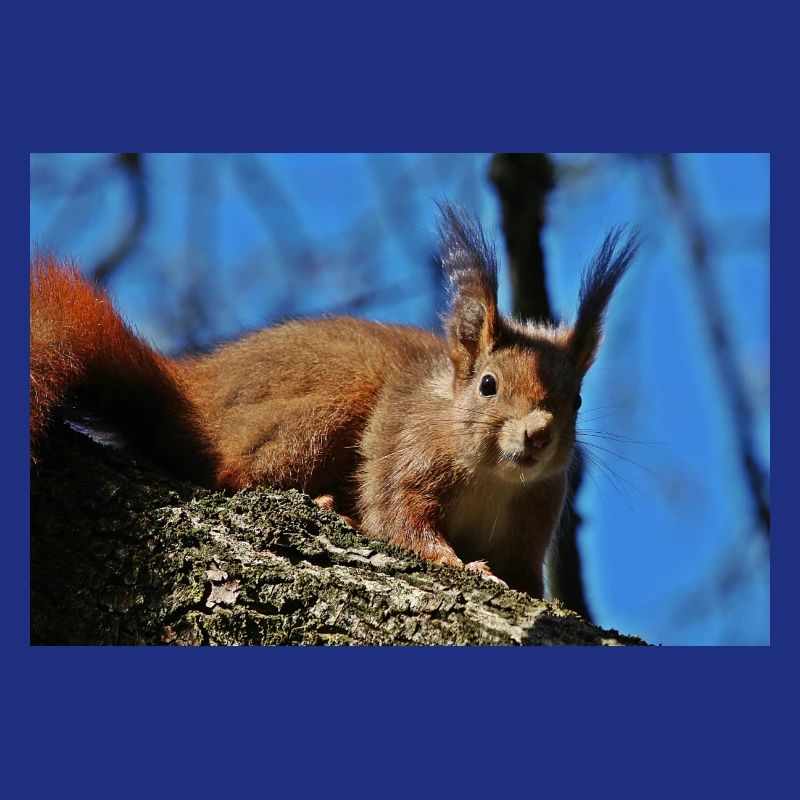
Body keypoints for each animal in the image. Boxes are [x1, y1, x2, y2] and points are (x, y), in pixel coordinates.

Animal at [30, 203, 640, 597]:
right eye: (488, 385)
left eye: (577, 400)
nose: (537, 434)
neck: (493, 475)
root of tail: (194, 392)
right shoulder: (405, 456)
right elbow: (400, 520)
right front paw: (460, 565)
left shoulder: (531, 522)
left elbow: (522, 579)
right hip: (327, 407)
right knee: (232, 473)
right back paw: (321, 503)